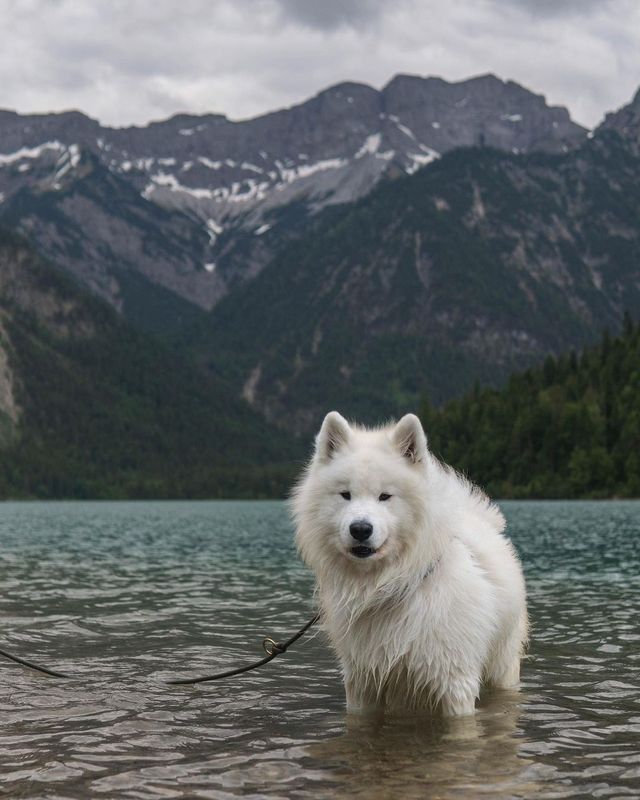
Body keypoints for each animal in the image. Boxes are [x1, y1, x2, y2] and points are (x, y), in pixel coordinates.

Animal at [292, 412, 528, 720]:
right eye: (345, 495)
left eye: (385, 496)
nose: (360, 529)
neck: (387, 588)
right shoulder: (363, 680)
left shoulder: (454, 680)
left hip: (502, 666)